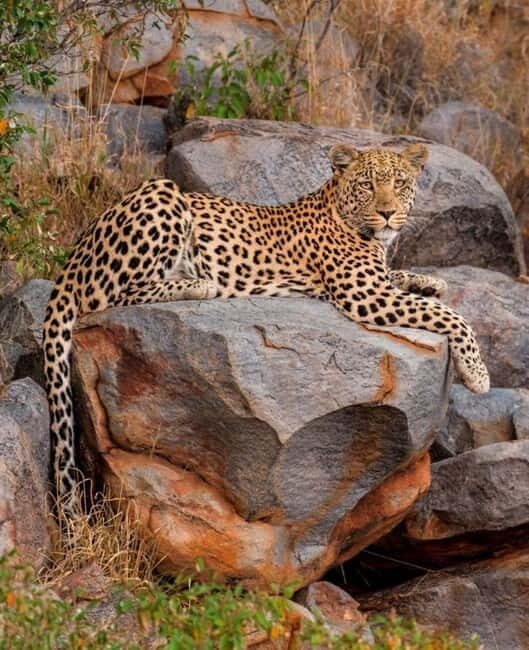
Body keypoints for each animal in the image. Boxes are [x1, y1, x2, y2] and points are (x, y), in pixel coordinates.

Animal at [42, 142, 490, 513]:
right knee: (110, 297)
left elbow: (410, 282)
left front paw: (428, 280)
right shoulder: (365, 294)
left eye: (399, 183)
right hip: (161, 195)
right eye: (367, 185)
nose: (386, 212)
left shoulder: (377, 281)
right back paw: (199, 282)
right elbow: (452, 317)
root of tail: (74, 255)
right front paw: (478, 374)